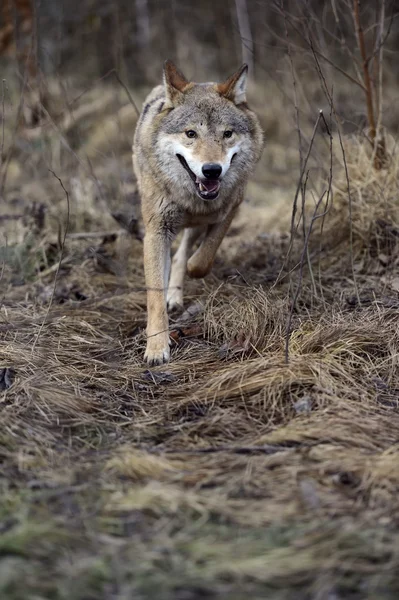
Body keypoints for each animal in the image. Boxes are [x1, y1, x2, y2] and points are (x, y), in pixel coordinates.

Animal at [134, 59, 264, 366]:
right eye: (190, 134)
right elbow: (154, 295)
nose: (212, 170)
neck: (193, 201)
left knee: (183, 253)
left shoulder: (231, 208)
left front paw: (193, 268)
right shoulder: (156, 230)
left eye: (227, 134)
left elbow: (202, 259)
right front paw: (156, 348)